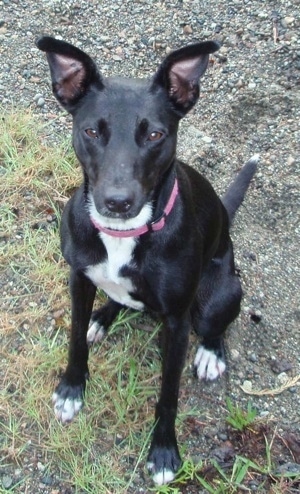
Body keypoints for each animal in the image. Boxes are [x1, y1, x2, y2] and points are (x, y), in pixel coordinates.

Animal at [37, 36, 258, 484]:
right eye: (91, 131)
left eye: (155, 134)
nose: (117, 202)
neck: (124, 235)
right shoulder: (78, 279)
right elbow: (74, 340)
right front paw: (72, 388)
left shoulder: (176, 323)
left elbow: (169, 393)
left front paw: (164, 451)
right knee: (117, 300)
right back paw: (103, 317)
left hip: (220, 293)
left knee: (216, 324)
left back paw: (211, 354)